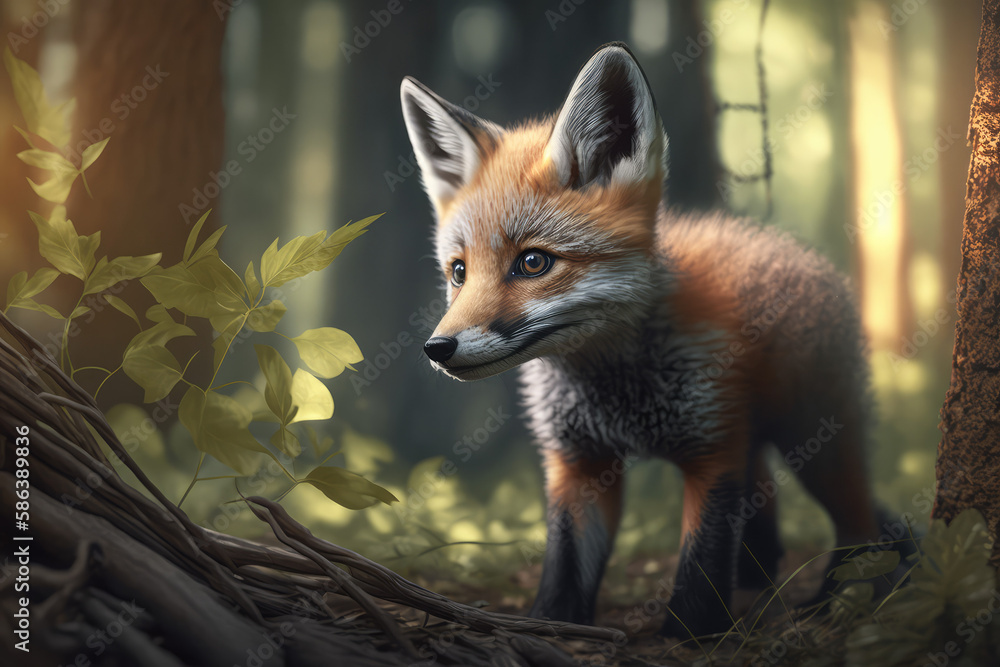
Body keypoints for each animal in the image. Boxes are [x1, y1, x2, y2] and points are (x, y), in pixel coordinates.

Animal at [400, 42, 886, 637]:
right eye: (459, 272)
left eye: (533, 263)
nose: (437, 349)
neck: (616, 396)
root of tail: (794, 249)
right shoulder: (579, 462)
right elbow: (565, 566)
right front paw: (553, 625)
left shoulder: (712, 451)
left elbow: (700, 563)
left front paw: (692, 635)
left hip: (814, 443)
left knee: (862, 521)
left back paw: (849, 594)